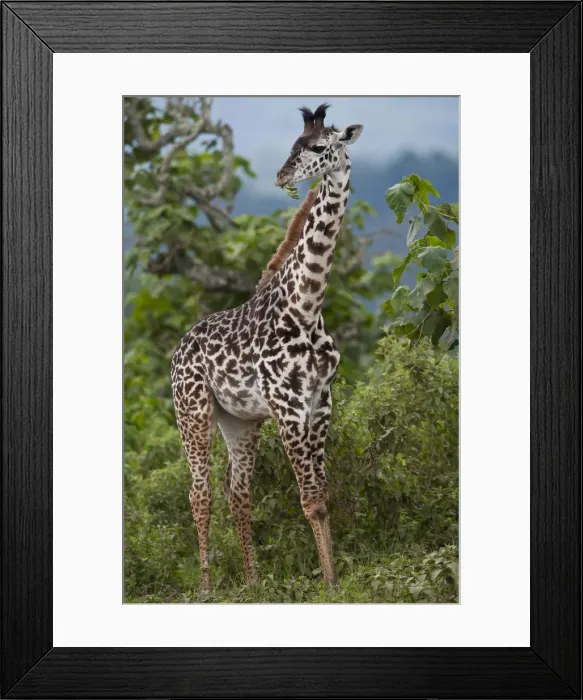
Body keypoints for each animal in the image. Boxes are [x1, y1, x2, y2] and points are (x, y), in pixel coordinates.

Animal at [171, 103, 363, 592]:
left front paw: (333, 580)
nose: (281, 176)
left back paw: (253, 581)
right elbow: (309, 498)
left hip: (240, 421)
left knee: (237, 490)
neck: (306, 306)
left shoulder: (320, 401)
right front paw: (329, 586)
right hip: (193, 412)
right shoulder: (287, 406)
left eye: (319, 146)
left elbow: (322, 496)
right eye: (294, 145)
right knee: (199, 491)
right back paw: (206, 586)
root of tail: (178, 349)